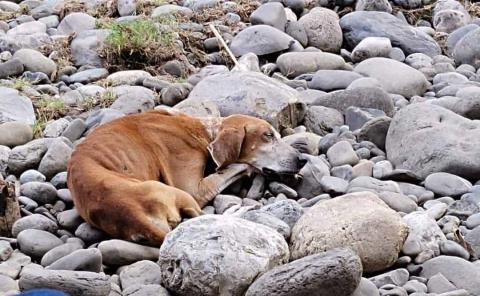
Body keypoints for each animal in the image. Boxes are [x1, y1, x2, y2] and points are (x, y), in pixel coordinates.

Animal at [66, 108, 306, 245]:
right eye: (268, 135)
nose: (301, 160)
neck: (204, 130)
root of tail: (133, 215)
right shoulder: (194, 188)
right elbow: (238, 165)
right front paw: (253, 168)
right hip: (175, 192)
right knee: (202, 216)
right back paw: (239, 210)